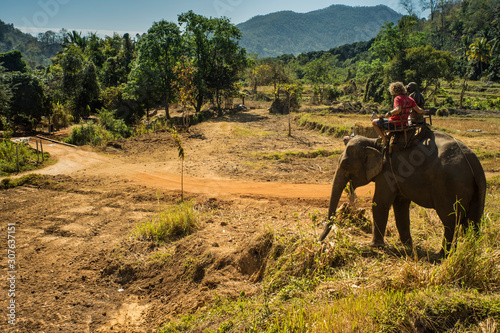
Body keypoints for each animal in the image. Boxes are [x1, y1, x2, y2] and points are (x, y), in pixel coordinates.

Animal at [318, 127, 486, 254]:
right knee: (474, 221)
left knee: (450, 220)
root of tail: (474, 162)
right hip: (477, 188)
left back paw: (442, 255)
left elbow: (380, 203)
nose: (319, 242)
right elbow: (400, 206)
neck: (375, 143)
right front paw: (406, 246)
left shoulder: (387, 172)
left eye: (345, 165)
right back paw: (470, 251)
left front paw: (375, 246)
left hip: (449, 187)